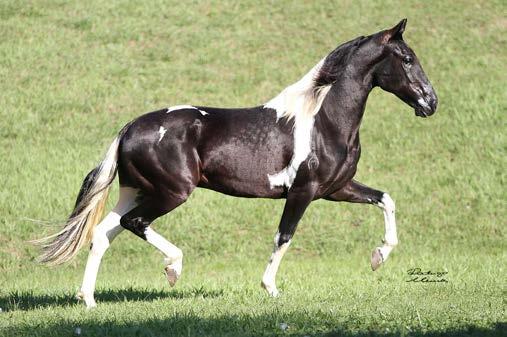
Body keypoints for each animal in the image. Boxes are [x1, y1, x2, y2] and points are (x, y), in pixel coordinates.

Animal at [37, 19, 438, 308]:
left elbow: (386, 199)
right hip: (171, 192)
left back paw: (89, 300)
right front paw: (270, 288)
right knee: (133, 224)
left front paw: (378, 257)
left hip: (134, 191)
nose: (431, 103)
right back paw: (173, 270)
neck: (323, 119)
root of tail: (128, 129)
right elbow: (284, 236)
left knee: (101, 234)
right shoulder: (303, 191)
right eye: (407, 59)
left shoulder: (336, 188)